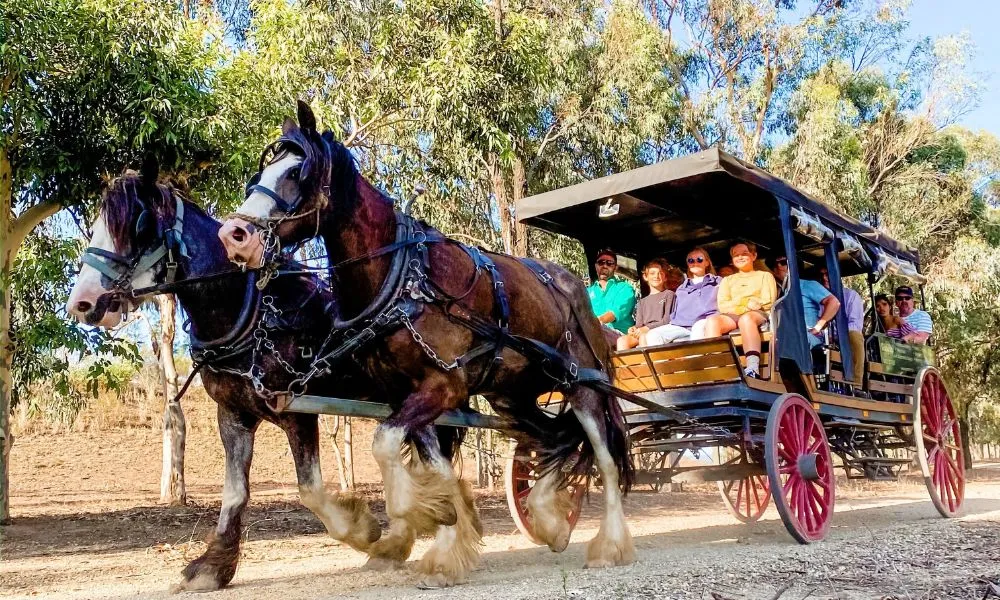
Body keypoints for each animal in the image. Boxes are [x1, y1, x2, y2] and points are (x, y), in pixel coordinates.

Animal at [66, 159, 465, 591]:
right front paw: (212, 567)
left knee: (436, 465)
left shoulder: (297, 411)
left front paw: (364, 531)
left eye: (137, 225)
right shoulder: (233, 415)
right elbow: (235, 492)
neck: (255, 314)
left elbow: (310, 490)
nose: (81, 303)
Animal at [218, 101, 636, 587]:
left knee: (602, 455)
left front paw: (422, 518)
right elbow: (434, 466)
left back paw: (608, 545)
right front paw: (443, 534)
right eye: (260, 171)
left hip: (582, 384)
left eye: (298, 172)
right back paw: (549, 519)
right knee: (558, 437)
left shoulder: (444, 387)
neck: (403, 277)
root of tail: (573, 286)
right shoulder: (409, 394)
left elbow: (385, 445)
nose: (234, 235)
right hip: (514, 395)